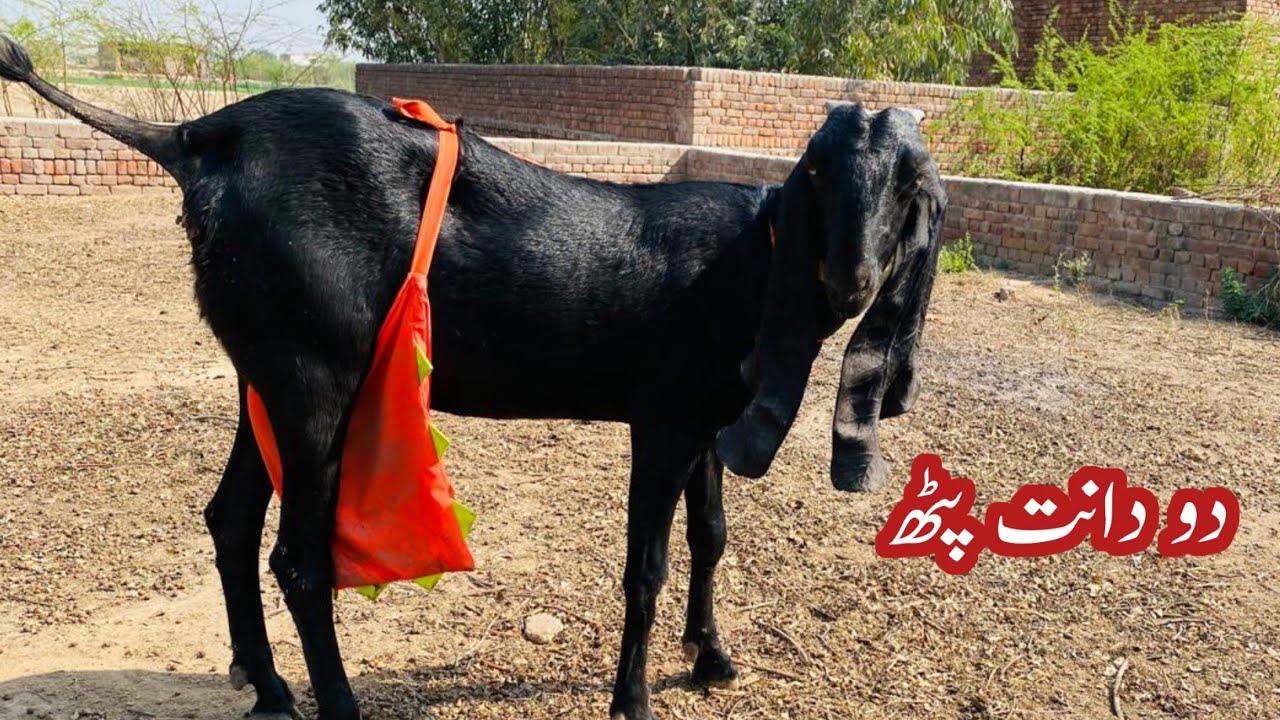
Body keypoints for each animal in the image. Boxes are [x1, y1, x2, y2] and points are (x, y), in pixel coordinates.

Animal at [0, 36, 945, 720]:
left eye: (910, 181)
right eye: (818, 172)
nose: (849, 280)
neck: (754, 255)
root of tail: (197, 140)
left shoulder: (707, 421)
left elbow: (710, 539)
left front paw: (712, 659)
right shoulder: (664, 421)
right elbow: (646, 567)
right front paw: (633, 700)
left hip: (261, 372)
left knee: (230, 519)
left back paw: (267, 688)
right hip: (315, 378)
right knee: (299, 561)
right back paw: (336, 704)